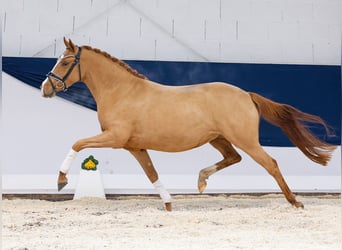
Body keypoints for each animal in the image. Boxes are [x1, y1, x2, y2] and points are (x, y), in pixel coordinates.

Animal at [40, 38, 336, 211]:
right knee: (234, 158)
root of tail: (246, 94)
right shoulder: (134, 146)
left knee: (270, 163)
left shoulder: (115, 138)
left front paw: (61, 180)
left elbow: (78, 143)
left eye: (65, 62)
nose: (45, 88)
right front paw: (169, 203)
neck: (122, 91)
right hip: (218, 138)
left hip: (246, 140)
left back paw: (295, 201)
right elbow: (152, 174)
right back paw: (202, 180)